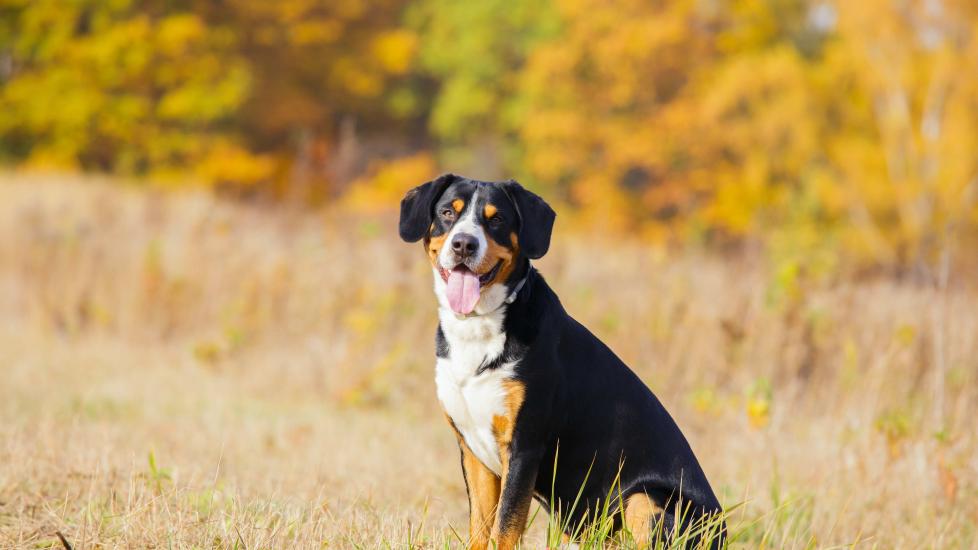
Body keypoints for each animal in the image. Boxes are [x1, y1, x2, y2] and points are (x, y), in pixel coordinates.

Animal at [396, 175, 724, 548]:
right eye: (448, 212)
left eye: (497, 219)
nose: (464, 244)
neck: (477, 329)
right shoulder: (472, 449)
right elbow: (481, 528)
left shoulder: (524, 446)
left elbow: (505, 527)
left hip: (646, 499)